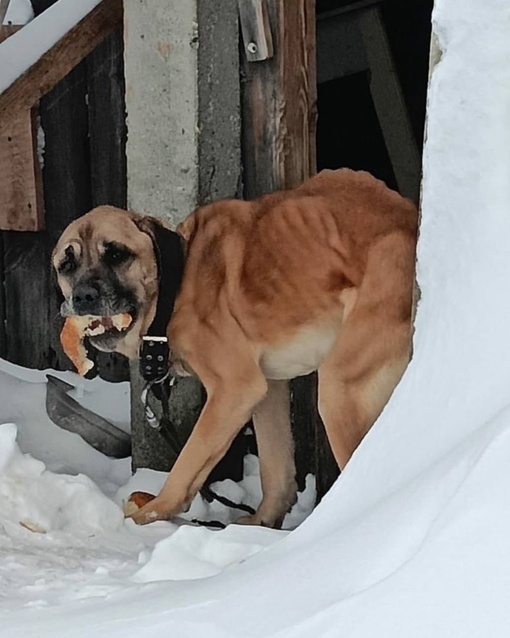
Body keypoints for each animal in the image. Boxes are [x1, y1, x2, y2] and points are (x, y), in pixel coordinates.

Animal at [52, 170, 418, 528]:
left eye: (116, 254)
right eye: (66, 265)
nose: (83, 296)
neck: (176, 286)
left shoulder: (234, 389)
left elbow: (189, 460)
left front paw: (154, 512)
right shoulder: (269, 387)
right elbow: (276, 467)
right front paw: (262, 523)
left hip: (340, 391)